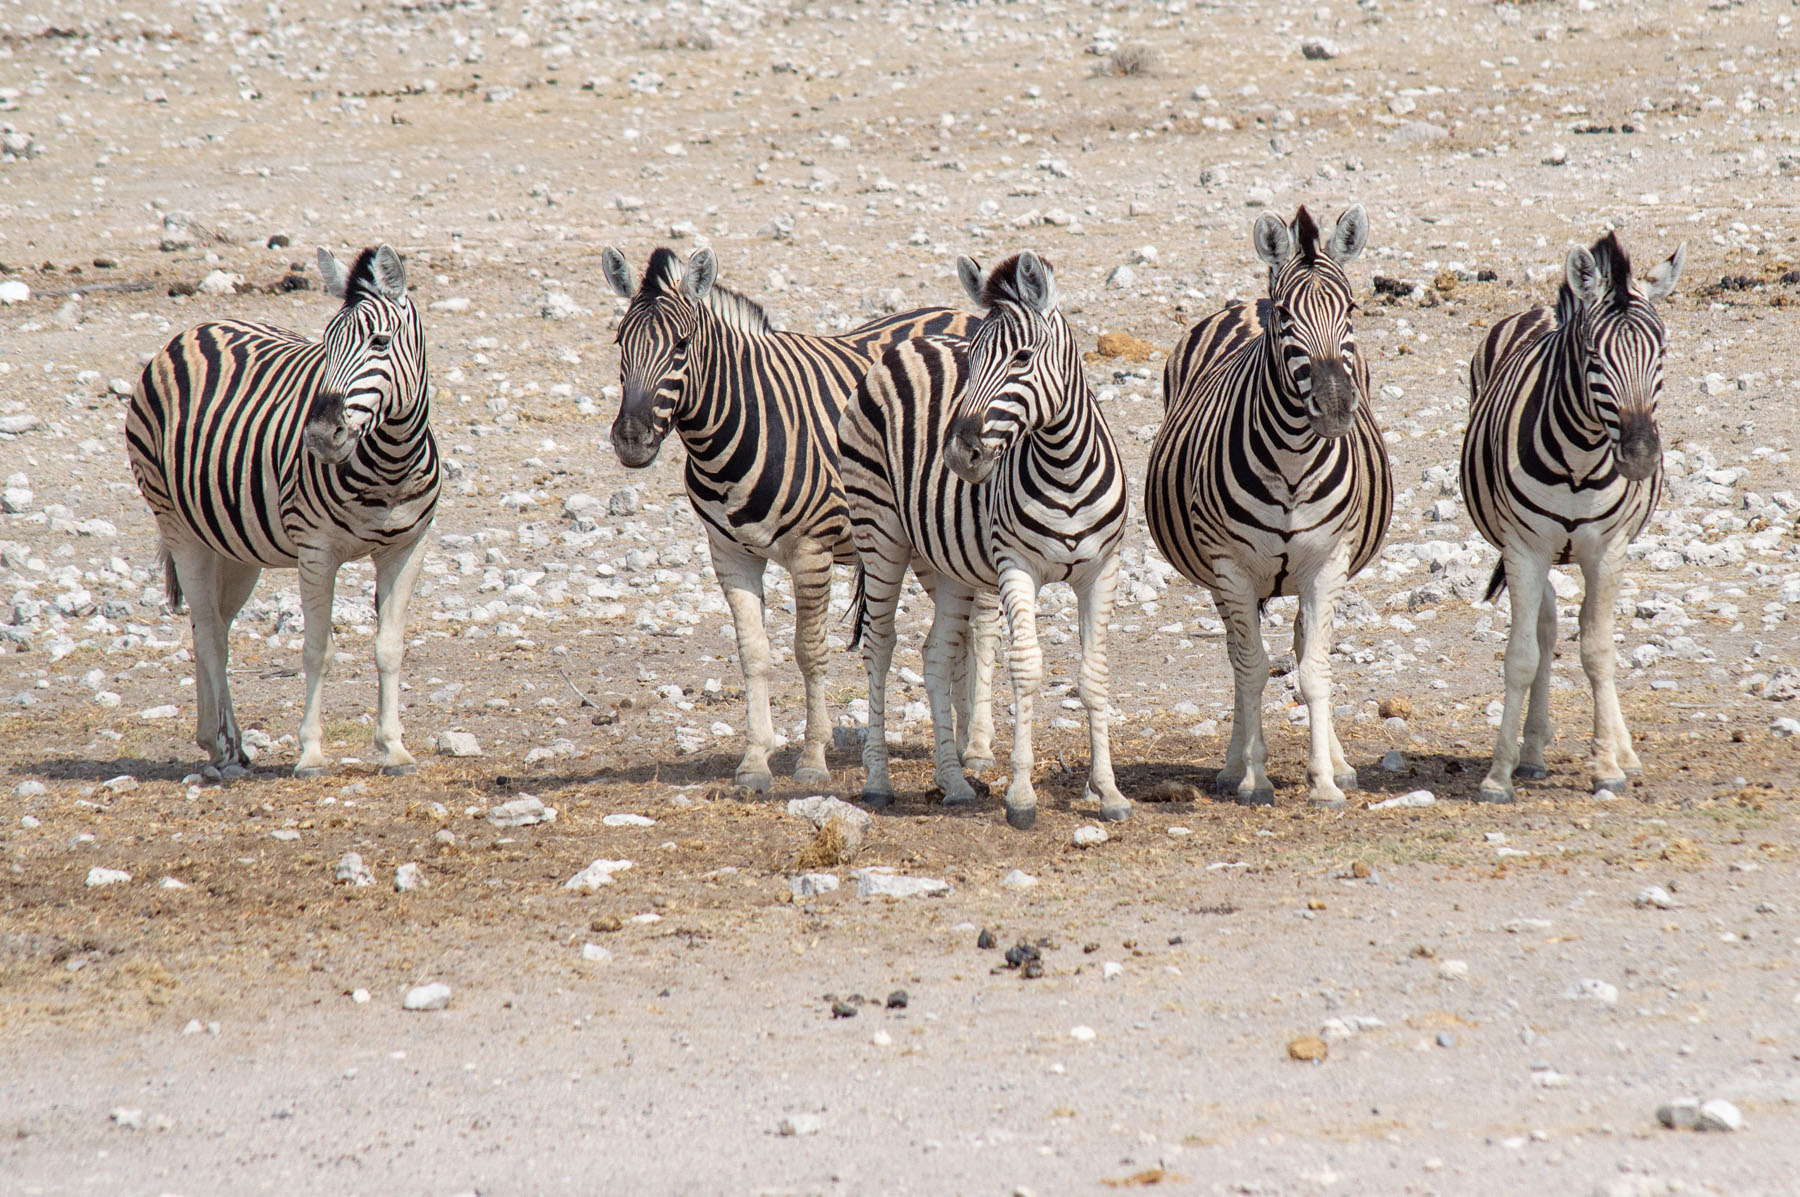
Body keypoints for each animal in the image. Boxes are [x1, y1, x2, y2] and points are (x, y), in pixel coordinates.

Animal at [125, 244, 439, 779]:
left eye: (380, 342)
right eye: (326, 345)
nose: (319, 436)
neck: (390, 465)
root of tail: (194, 330)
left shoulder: (407, 548)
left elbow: (389, 649)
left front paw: (394, 747)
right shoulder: (316, 552)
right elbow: (317, 651)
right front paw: (310, 753)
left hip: (233, 545)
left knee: (211, 624)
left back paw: (217, 741)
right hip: (177, 524)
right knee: (211, 634)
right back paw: (226, 746)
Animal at [600, 245, 995, 793]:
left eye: (681, 346)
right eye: (621, 343)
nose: (631, 440)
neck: (735, 427)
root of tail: (967, 314)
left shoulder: (812, 550)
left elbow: (809, 652)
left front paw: (811, 760)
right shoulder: (730, 554)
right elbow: (753, 652)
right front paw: (754, 761)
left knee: (984, 626)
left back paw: (977, 748)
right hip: (930, 540)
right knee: (961, 633)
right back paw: (956, 744)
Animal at [840, 251, 1132, 830]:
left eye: (1022, 358)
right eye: (972, 359)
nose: (959, 454)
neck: (1065, 466)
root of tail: (908, 344)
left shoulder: (1101, 570)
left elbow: (1094, 676)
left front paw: (1108, 792)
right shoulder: (1016, 565)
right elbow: (1027, 669)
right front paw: (1021, 796)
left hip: (944, 560)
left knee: (934, 653)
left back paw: (953, 784)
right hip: (879, 532)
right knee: (881, 646)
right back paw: (879, 782)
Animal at [1145, 205, 1392, 809]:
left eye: (1351, 308)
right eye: (1285, 316)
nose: (1334, 406)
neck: (1293, 463)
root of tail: (1247, 303)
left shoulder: (1328, 563)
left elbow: (1315, 669)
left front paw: (1324, 781)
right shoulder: (1229, 567)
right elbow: (1253, 669)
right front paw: (1254, 779)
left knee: (1301, 646)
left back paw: (1338, 763)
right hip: (1215, 573)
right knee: (1239, 657)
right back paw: (1236, 764)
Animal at [1460, 231, 1684, 802]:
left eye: (1661, 351)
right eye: (1593, 356)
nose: (1640, 457)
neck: (1580, 460)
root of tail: (1544, 308)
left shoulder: (1607, 550)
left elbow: (1598, 651)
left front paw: (1607, 767)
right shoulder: (1524, 548)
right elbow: (1521, 657)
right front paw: (1498, 774)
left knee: (1585, 629)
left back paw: (1622, 752)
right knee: (1545, 628)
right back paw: (1533, 751)